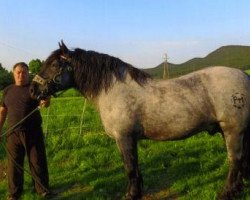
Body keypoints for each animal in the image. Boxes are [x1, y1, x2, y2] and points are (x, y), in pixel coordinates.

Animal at [29, 41, 250, 199]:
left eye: (54, 64)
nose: (32, 90)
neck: (113, 90)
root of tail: (244, 76)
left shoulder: (124, 137)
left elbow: (129, 166)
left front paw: (131, 194)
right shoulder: (127, 139)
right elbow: (133, 166)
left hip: (233, 130)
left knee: (235, 160)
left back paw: (226, 193)